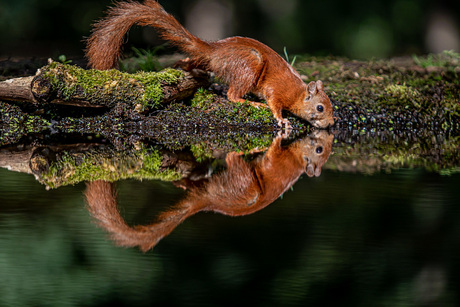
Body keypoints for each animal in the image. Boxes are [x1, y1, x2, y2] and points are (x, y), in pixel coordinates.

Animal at [86, 0, 334, 129]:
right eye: (320, 108)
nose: (331, 124)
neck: (297, 92)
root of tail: (216, 50)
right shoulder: (277, 90)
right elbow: (274, 104)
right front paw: (281, 119)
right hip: (249, 65)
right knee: (232, 95)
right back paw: (250, 102)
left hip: (213, 62)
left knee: (194, 61)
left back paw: (184, 65)